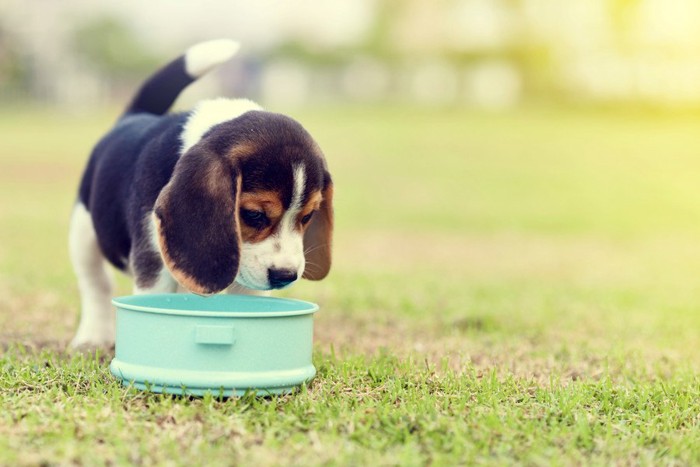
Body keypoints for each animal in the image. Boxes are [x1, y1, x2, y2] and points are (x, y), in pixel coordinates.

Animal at [69, 39, 332, 348]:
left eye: (308, 216)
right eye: (254, 215)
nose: (285, 275)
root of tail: (133, 116)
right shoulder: (152, 265)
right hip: (83, 232)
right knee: (96, 284)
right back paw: (92, 337)